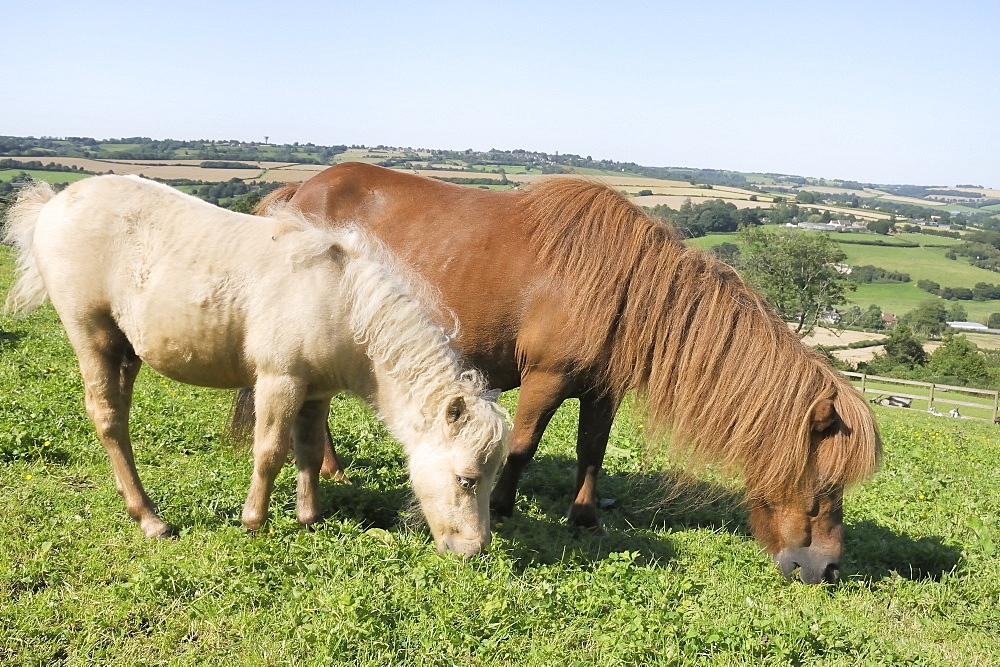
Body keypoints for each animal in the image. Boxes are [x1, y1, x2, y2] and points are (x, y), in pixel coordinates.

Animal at [1, 175, 508, 556]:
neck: (340, 300)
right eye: (467, 479)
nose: (474, 550)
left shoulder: (316, 391)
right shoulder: (279, 381)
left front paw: (309, 518)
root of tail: (53, 203)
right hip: (92, 336)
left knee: (119, 419)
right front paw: (255, 522)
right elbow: (269, 452)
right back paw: (150, 520)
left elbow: (308, 452)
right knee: (106, 418)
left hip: (127, 350)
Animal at [246, 163, 880, 584]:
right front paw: (504, 507)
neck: (625, 288)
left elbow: (590, 451)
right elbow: (524, 445)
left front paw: (584, 518)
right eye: (825, 484)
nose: (828, 569)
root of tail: (302, 188)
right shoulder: (545, 378)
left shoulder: (602, 391)